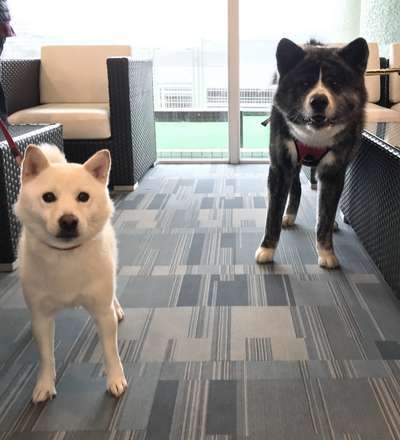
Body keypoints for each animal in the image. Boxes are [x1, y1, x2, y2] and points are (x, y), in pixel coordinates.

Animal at [15, 144, 126, 402]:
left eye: (83, 197)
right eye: (48, 197)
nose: (68, 220)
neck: (66, 255)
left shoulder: (102, 313)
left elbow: (111, 351)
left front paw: (115, 379)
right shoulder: (41, 317)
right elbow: (46, 356)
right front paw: (44, 384)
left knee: (113, 293)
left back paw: (117, 308)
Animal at [256, 37, 368, 268]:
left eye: (334, 84)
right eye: (305, 84)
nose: (319, 100)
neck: (314, 135)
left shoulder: (334, 172)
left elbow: (325, 214)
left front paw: (326, 252)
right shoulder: (281, 167)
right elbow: (272, 214)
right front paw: (266, 249)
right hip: (294, 165)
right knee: (297, 188)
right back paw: (289, 216)